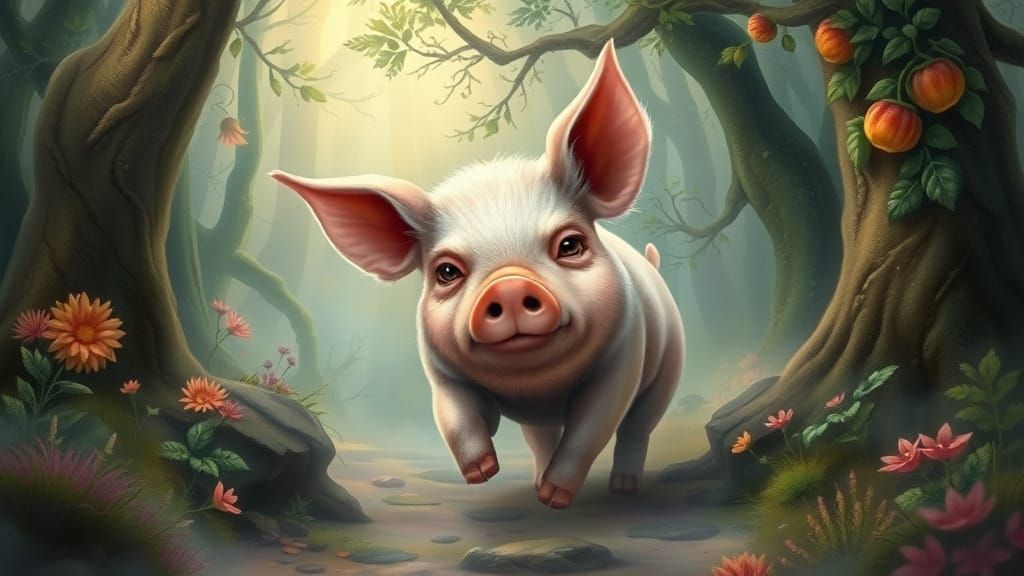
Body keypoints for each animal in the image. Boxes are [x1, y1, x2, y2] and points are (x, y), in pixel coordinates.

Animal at [270, 41, 684, 509]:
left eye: (570, 245)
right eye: (447, 271)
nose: (508, 286)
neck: (537, 387)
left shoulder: (623, 358)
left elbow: (591, 427)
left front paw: (557, 499)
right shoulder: (441, 373)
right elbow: (456, 416)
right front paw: (482, 474)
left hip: (669, 363)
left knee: (638, 426)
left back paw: (619, 488)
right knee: (541, 436)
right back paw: (537, 484)